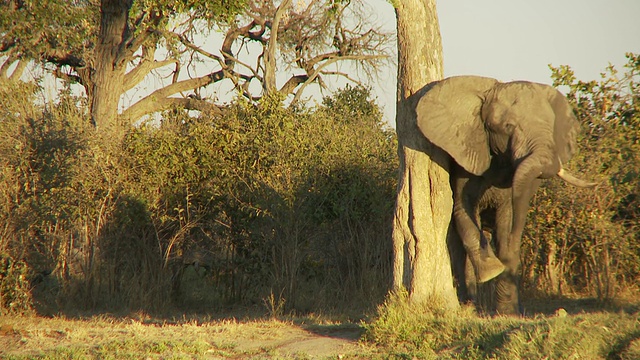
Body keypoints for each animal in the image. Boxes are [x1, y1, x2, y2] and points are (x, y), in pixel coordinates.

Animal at [416, 76, 596, 316]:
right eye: (508, 127)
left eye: (551, 127)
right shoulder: (466, 158)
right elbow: (462, 207)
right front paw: (492, 271)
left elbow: (507, 217)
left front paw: (507, 312)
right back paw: (470, 304)